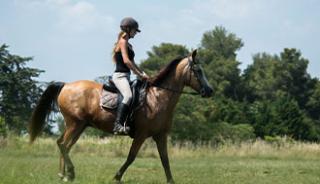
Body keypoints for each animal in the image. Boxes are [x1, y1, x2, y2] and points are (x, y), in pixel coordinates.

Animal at [28, 49, 212, 183]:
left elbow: (165, 159)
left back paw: (63, 175)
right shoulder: (141, 135)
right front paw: (116, 177)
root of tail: (66, 85)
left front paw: (171, 181)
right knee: (63, 145)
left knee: (64, 145)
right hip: (74, 124)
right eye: (197, 70)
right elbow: (131, 157)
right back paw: (70, 173)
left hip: (79, 126)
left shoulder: (161, 135)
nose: (210, 91)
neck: (159, 97)